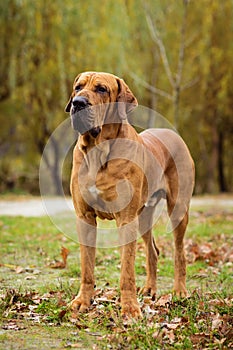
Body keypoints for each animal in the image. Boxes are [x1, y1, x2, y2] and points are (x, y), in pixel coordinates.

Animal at [65, 71, 195, 318]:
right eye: (77, 87)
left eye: (101, 89)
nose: (78, 103)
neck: (98, 150)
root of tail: (173, 134)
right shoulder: (84, 217)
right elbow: (87, 267)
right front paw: (82, 301)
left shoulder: (126, 218)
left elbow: (127, 270)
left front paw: (130, 308)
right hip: (143, 216)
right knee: (153, 251)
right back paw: (150, 289)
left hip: (178, 210)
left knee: (179, 252)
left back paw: (180, 290)